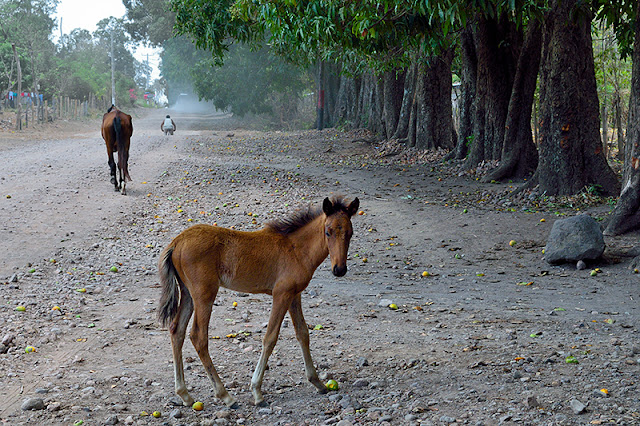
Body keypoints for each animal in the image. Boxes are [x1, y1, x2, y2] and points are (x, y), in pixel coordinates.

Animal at [159, 196, 360, 410]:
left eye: (350, 233)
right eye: (328, 231)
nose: (339, 269)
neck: (297, 249)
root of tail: (176, 242)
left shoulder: (294, 295)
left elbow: (303, 334)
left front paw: (317, 382)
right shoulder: (281, 294)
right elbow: (270, 337)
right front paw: (257, 391)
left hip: (187, 293)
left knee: (176, 330)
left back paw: (185, 394)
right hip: (204, 294)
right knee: (198, 336)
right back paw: (226, 396)